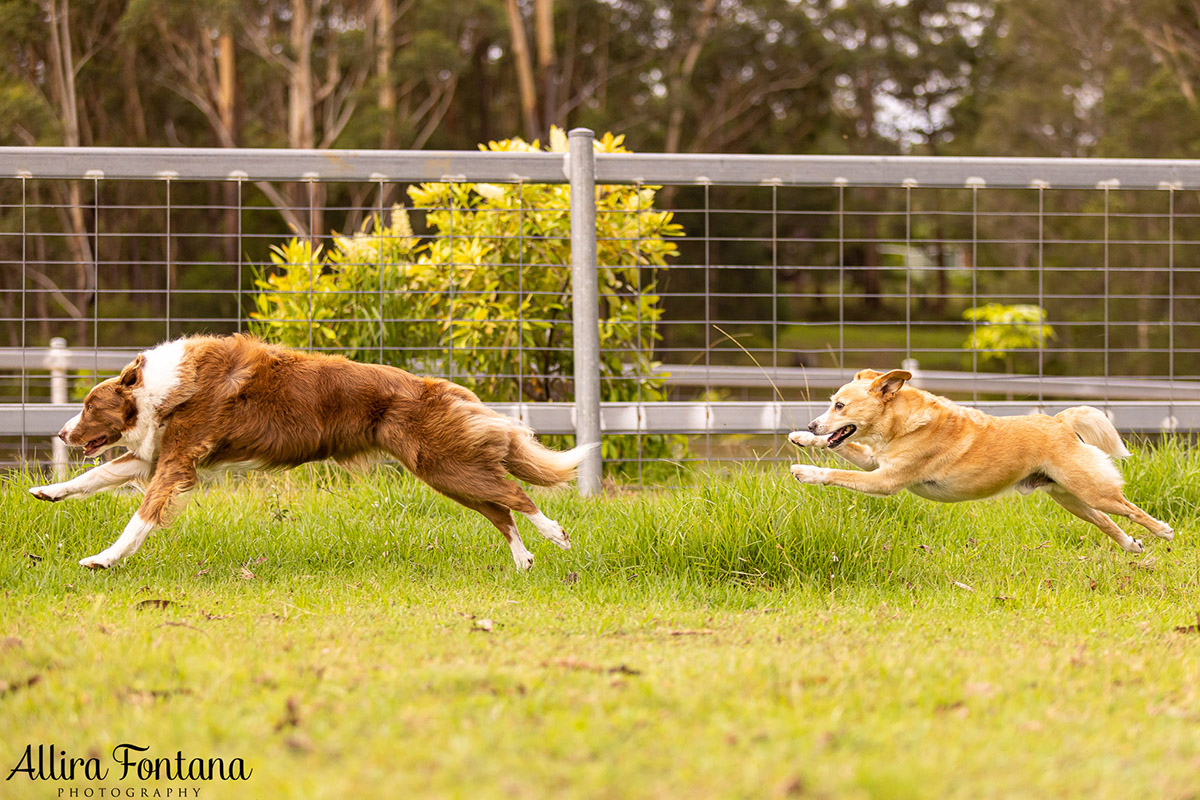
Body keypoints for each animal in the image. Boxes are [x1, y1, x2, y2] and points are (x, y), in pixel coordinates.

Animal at [27, 335, 590, 573]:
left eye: (88, 406)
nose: (61, 431)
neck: (160, 389)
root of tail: (442, 386)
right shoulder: (155, 456)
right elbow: (92, 479)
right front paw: (48, 490)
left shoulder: (176, 463)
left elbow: (140, 519)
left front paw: (103, 559)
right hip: (446, 471)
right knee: (500, 509)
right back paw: (524, 558)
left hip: (443, 464)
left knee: (515, 494)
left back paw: (557, 535)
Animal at [787, 371, 1171, 554]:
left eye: (839, 406)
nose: (812, 424)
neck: (902, 423)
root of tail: (1060, 422)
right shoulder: (873, 463)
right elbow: (844, 451)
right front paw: (803, 439)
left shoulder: (884, 481)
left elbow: (836, 471)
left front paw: (806, 471)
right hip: (1069, 498)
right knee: (1106, 521)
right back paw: (1131, 545)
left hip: (1091, 490)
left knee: (1129, 509)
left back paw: (1162, 531)